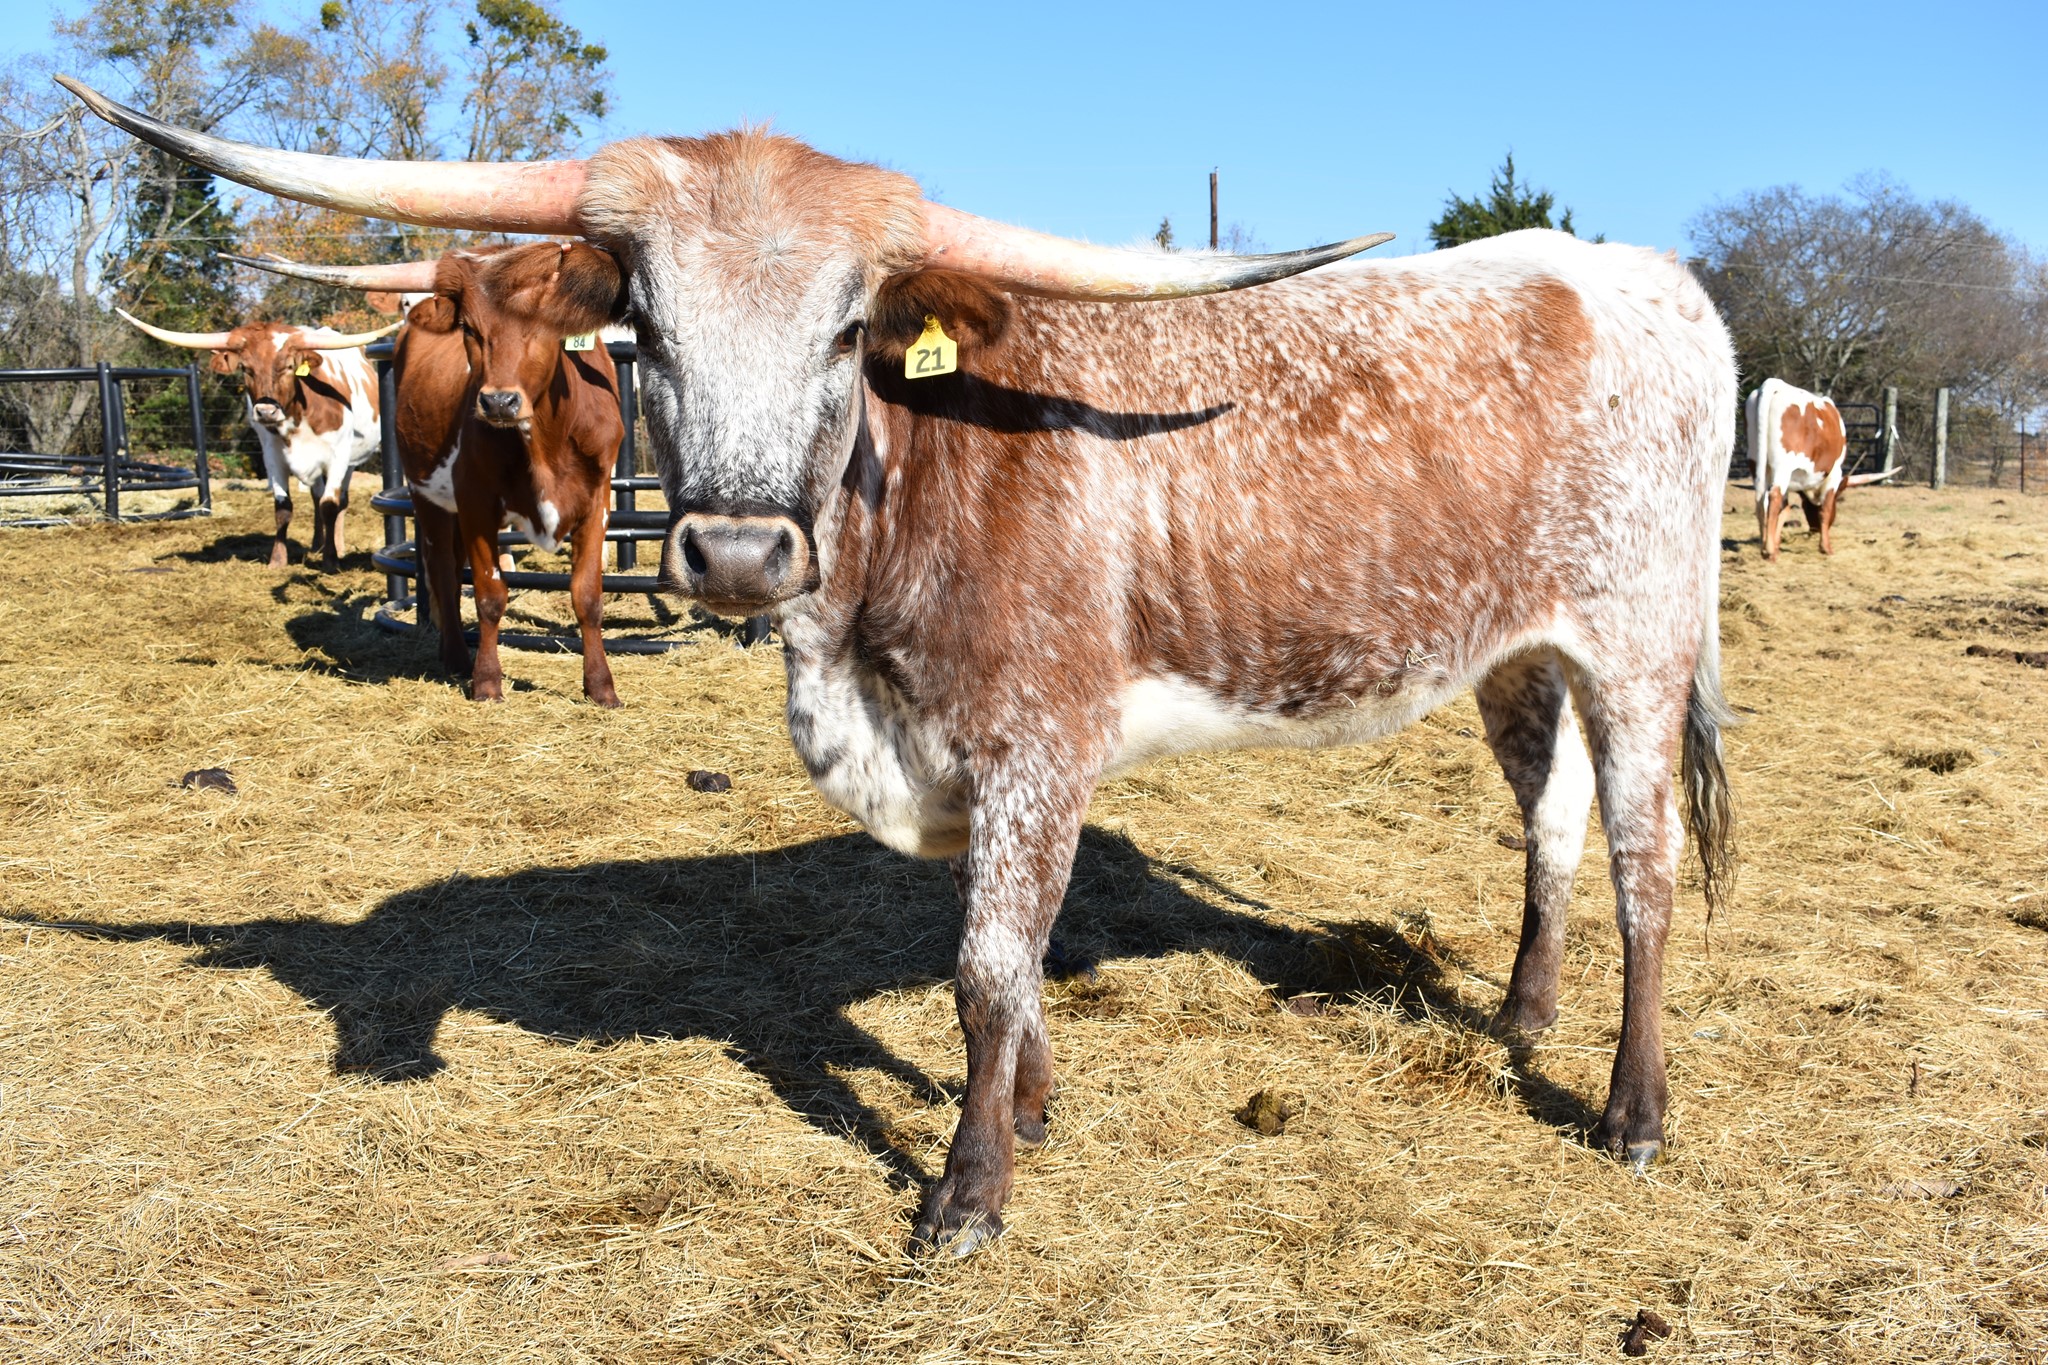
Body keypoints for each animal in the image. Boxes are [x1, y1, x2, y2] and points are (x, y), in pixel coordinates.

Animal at [115, 310, 397, 570]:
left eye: (288, 367)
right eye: (245, 368)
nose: (266, 412)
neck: (301, 414)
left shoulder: (338, 456)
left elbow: (330, 505)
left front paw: (330, 560)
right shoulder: (273, 456)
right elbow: (284, 507)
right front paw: (278, 560)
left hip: (350, 462)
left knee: (339, 502)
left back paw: (336, 545)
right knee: (316, 497)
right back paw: (317, 544)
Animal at [223, 247, 628, 707]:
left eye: (553, 325)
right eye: (469, 327)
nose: (498, 402)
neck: (545, 439)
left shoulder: (596, 502)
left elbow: (587, 595)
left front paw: (601, 687)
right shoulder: (475, 501)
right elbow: (489, 594)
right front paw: (486, 682)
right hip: (428, 497)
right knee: (442, 570)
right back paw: (455, 656)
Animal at [1746, 377, 1896, 560]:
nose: (1814, 529)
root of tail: (1774, 384)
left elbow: (1785, 509)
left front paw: (1776, 544)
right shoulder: (1834, 473)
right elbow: (1825, 508)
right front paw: (1825, 547)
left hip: (1755, 462)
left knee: (1761, 499)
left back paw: (1765, 547)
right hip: (1782, 467)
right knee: (1773, 497)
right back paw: (1769, 551)